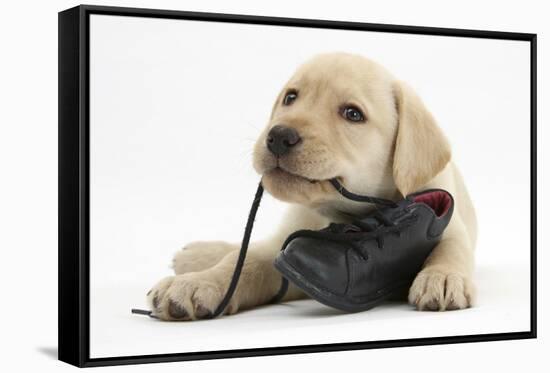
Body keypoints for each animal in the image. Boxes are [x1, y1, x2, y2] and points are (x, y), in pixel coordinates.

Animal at [148, 52, 478, 320]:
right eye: (291, 97)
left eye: (353, 114)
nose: (279, 136)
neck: (346, 213)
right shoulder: (285, 250)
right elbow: (243, 262)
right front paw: (198, 283)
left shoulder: (450, 223)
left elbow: (452, 249)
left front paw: (443, 276)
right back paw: (196, 255)